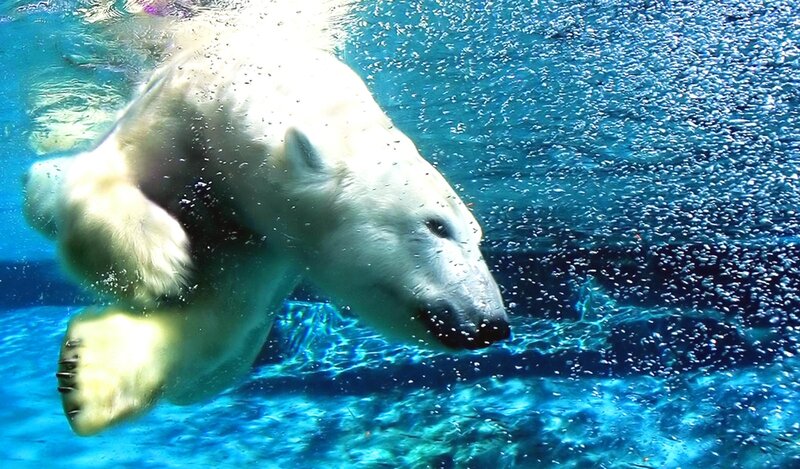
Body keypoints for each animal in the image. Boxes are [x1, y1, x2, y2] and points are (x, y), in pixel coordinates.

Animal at [22, 0, 509, 436]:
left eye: (478, 237)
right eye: (437, 226)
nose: (491, 324)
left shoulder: (265, 240)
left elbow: (221, 317)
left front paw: (87, 374)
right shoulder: (179, 113)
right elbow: (107, 173)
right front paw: (158, 262)